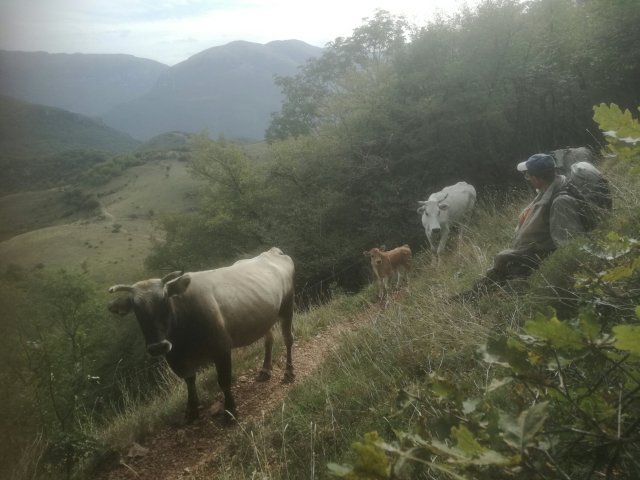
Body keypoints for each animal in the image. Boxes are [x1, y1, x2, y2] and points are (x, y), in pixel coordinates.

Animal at [107, 247, 295, 422]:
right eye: (136, 308)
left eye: (165, 299)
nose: (159, 346)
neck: (183, 341)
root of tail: (271, 252)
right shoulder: (179, 359)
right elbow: (189, 381)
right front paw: (191, 411)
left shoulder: (221, 348)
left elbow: (224, 381)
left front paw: (230, 412)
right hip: (266, 315)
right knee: (269, 339)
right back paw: (265, 370)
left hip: (287, 307)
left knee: (288, 339)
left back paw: (289, 373)